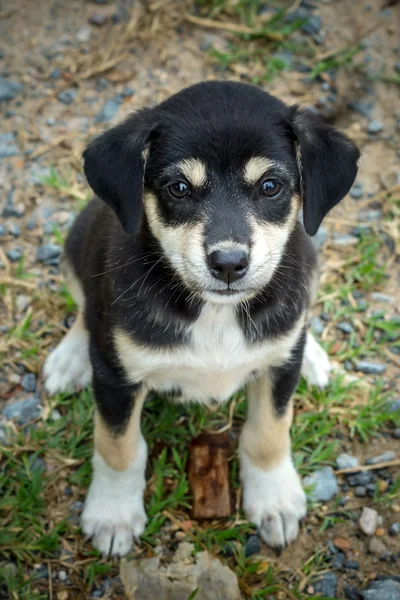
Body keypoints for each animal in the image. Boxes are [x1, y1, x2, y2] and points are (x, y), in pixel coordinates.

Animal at [43, 81, 360, 556]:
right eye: (178, 188)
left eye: (270, 186)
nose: (228, 263)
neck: (214, 312)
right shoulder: (117, 379)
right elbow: (118, 447)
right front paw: (113, 515)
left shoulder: (277, 373)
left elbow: (269, 432)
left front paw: (275, 499)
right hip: (76, 243)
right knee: (84, 308)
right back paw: (71, 358)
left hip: (308, 254)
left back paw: (313, 356)